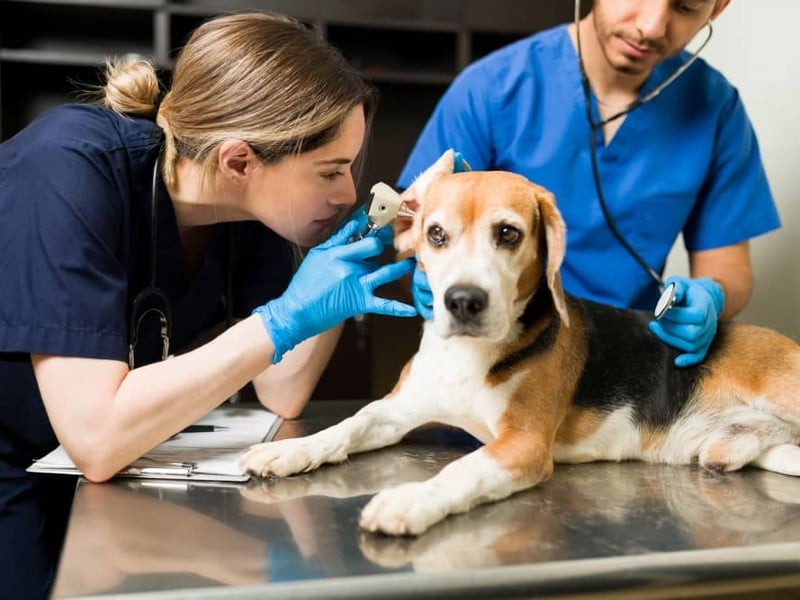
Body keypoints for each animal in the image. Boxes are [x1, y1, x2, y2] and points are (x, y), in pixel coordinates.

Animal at [241, 149, 800, 536]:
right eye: (436, 234)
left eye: (508, 234)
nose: (463, 300)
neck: (467, 358)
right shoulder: (395, 411)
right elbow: (347, 425)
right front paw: (288, 451)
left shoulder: (523, 444)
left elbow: (462, 471)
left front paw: (411, 500)